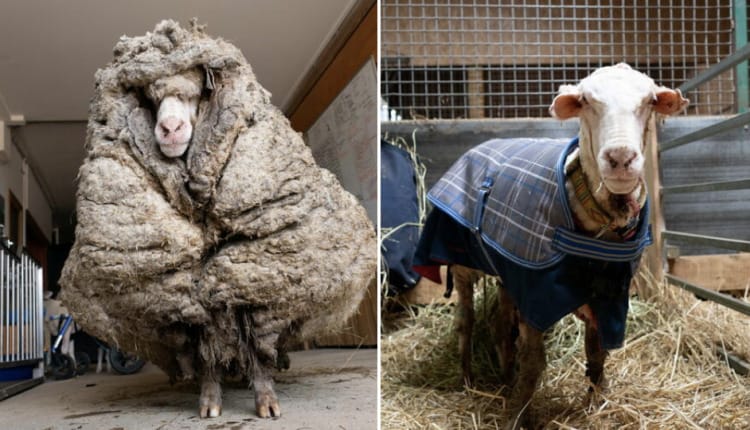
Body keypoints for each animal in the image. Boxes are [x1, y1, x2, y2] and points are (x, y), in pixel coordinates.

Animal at [413, 63, 688, 429]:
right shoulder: (537, 294)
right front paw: (519, 416)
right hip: (463, 264)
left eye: (649, 101)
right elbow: (534, 363)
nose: (620, 157)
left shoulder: (607, 295)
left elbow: (596, 354)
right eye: (586, 102)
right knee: (465, 321)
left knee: (500, 327)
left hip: (507, 275)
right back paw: (468, 379)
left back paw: (505, 378)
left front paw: (595, 403)